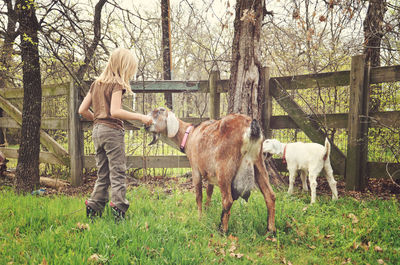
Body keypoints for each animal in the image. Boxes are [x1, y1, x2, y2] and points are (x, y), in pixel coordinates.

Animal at [146, 106, 276, 232]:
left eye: (158, 112)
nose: (145, 125)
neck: (190, 135)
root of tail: (250, 126)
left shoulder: (195, 168)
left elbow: (199, 196)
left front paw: (200, 218)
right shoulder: (210, 174)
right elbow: (209, 192)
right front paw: (207, 210)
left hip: (224, 168)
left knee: (227, 200)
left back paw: (222, 230)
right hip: (258, 163)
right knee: (270, 195)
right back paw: (271, 230)